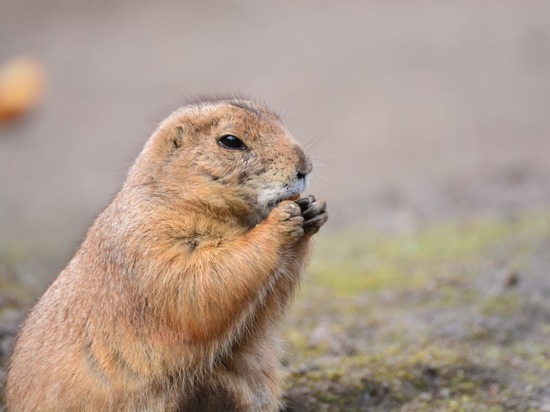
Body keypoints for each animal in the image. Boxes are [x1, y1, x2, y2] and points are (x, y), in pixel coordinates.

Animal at [4, 98, 328, 410]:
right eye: (231, 141)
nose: (305, 166)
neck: (178, 198)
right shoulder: (148, 238)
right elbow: (194, 284)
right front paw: (282, 218)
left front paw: (312, 208)